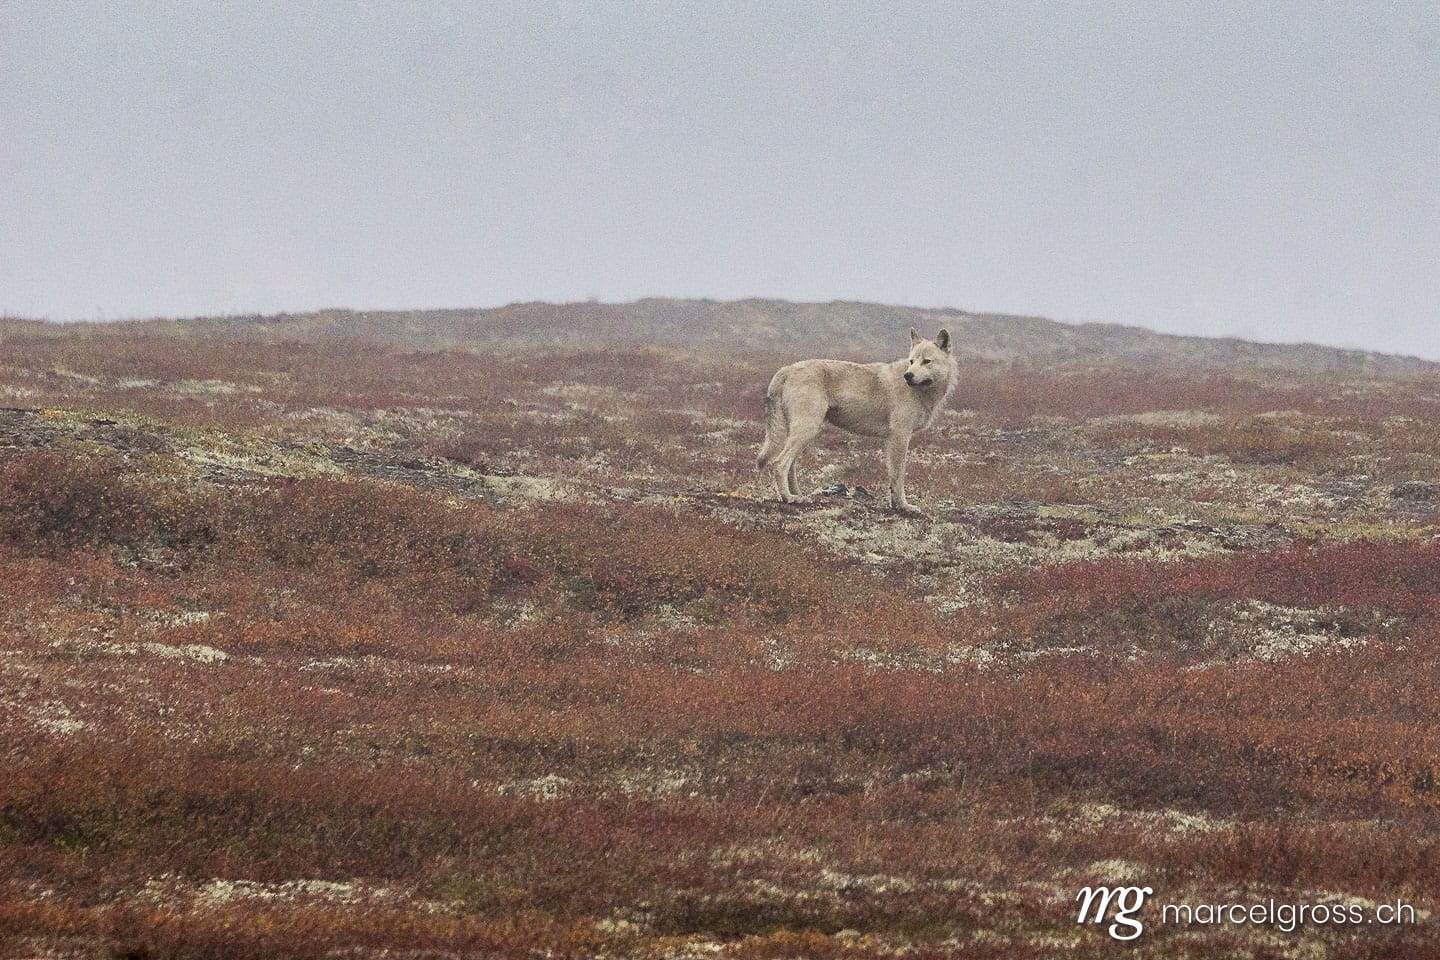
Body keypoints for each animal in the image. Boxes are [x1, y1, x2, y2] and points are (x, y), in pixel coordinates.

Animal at [756, 328, 957, 514]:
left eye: (926, 361)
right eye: (912, 361)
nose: (908, 376)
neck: (923, 393)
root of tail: (788, 368)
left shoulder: (893, 440)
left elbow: (893, 478)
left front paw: (895, 505)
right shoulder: (900, 437)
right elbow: (898, 477)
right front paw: (903, 506)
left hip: (803, 434)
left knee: (790, 466)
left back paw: (799, 495)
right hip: (806, 431)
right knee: (780, 463)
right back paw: (788, 498)